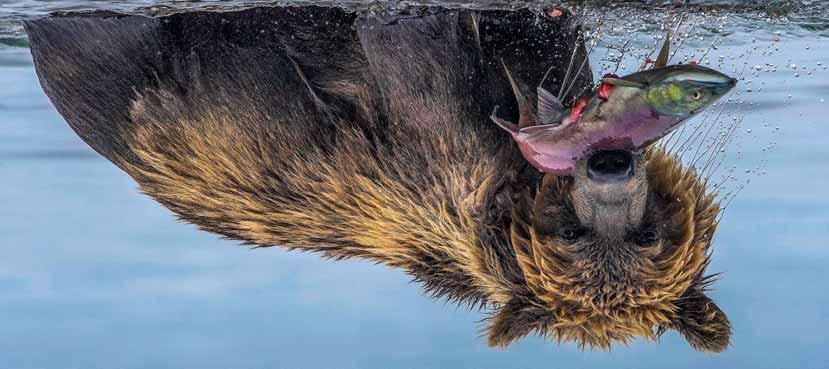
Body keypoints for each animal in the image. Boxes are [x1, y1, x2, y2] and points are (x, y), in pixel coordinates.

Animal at [22, 5, 728, 350]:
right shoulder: (440, 159)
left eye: (646, 238)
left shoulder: (437, 189)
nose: (610, 168)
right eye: (575, 239)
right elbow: (437, 65)